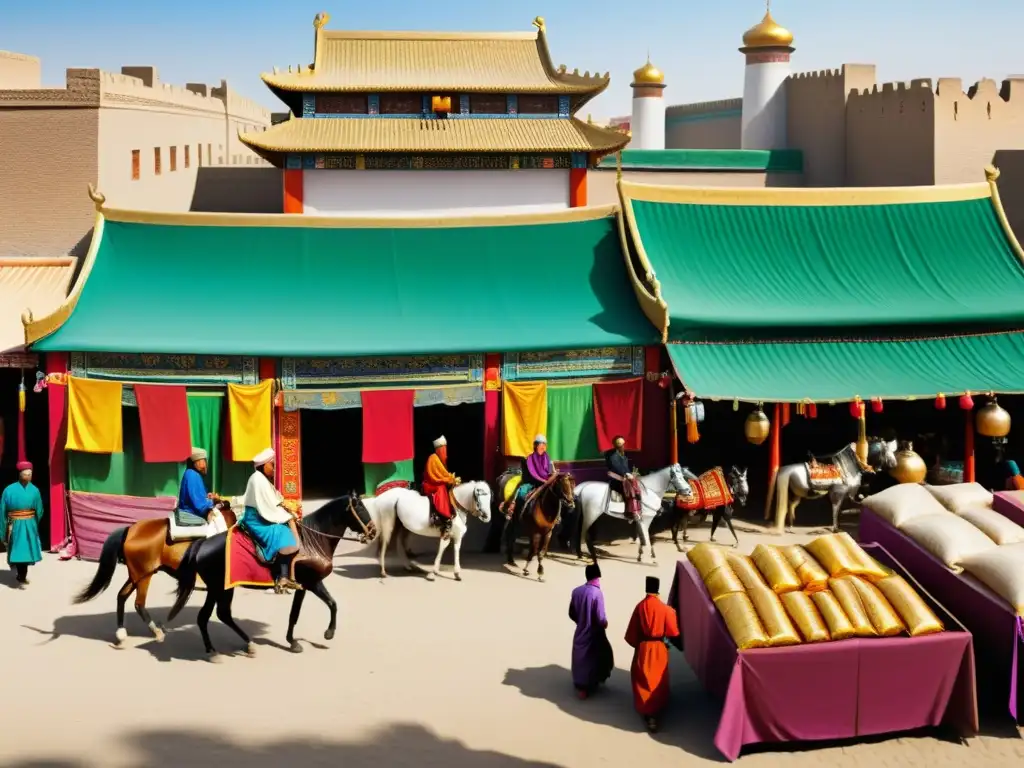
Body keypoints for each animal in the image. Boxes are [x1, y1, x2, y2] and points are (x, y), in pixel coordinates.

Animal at [74, 501, 237, 647]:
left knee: (122, 595)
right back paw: (157, 632)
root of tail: (130, 530)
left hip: (136, 575)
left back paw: (121, 633)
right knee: (139, 604)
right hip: (145, 576)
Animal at [165, 493, 374, 663]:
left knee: (218, 615)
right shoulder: (312, 582)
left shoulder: (304, 585)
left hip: (221, 588)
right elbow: (330, 605)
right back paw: (215, 651)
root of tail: (202, 544)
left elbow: (301, 612)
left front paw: (293, 641)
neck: (312, 541)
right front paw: (328, 634)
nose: (373, 532)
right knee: (208, 616)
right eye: (361, 508)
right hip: (218, 588)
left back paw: (244, 645)